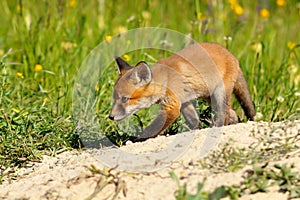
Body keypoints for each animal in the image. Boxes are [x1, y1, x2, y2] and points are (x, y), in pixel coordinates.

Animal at [109, 43, 255, 141]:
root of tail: (233, 56)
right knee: (233, 113)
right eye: (114, 98)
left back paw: (218, 128)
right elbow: (194, 121)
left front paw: (136, 141)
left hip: (219, 94)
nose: (110, 117)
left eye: (124, 99)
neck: (165, 80)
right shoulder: (185, 101)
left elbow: (153, 128)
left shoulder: (172, 107)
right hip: (209, 96)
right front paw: (197, 131)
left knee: (224, 114)